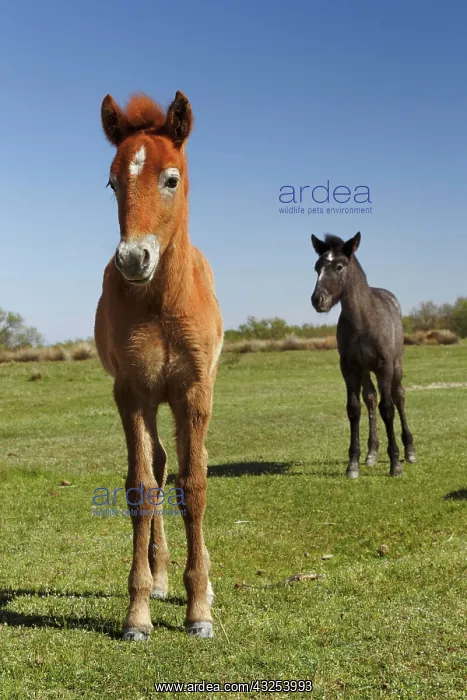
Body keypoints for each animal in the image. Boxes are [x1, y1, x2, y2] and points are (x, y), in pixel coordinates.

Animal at [310, 232, 416, 479]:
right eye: (316, 267)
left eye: (339, 266)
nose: (318, 300)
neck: (363, 322)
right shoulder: (349, 367)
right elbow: (354, 409)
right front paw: (353, 464)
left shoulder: (384, 365)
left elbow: (387, 409)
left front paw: (395, 464)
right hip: (366, 370)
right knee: (370, 398)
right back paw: (372, 453)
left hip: (396, 365)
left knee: (398, 396)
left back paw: (409, 451)